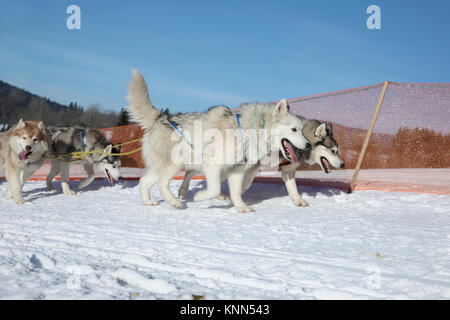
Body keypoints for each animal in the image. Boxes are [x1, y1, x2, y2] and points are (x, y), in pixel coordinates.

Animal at [126, 71, 310, 214]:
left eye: (301, 129)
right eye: (294, 129)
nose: (308, 145)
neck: (250, 130)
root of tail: (161, 117)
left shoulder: (236, 170)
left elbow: (236, 192)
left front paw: (241, 207)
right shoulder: (212, 164)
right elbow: (214, 189)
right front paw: (200, 197)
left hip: (162, 167)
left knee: (144, 181)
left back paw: (148, 202)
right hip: (175, 164)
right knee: (162, 183)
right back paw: (175, 203)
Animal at [178, 116, 344, 206]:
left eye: (337, 150)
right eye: (333, 151)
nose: (343, 164)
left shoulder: (288, 171)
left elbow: (293, 189)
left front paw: (298, 201)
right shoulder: (253, 165)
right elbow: (246, 183)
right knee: (191, 170)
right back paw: (184, 189)